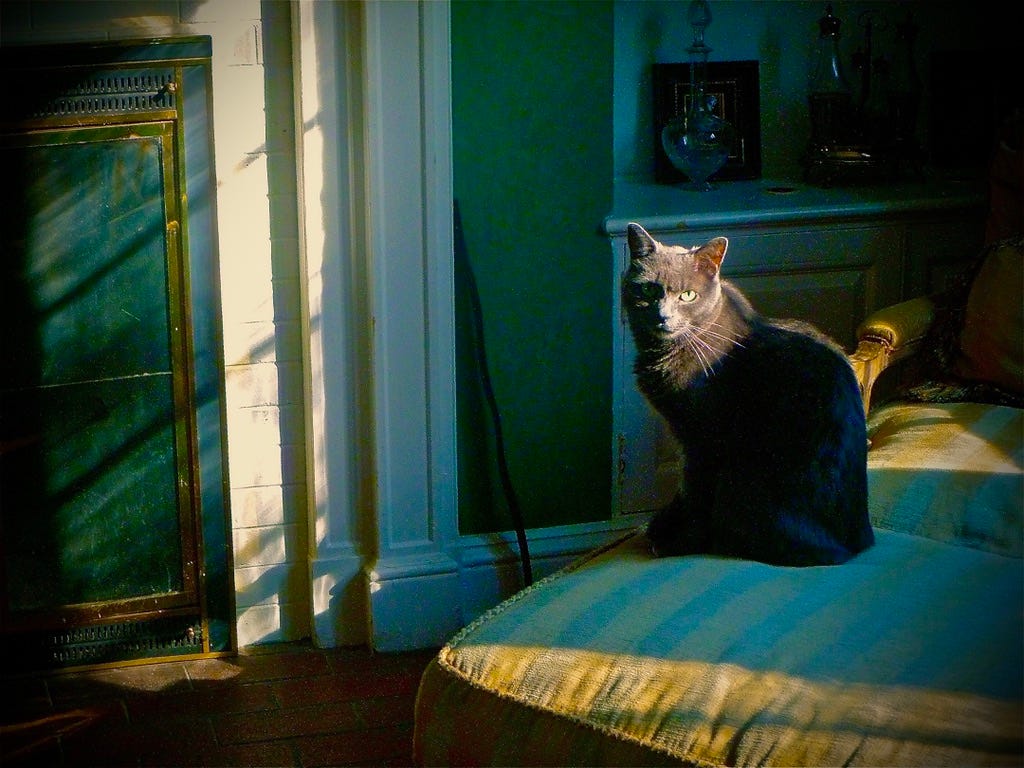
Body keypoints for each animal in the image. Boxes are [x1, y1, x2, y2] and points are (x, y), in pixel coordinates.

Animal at [623, 223, 874, 566]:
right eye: (648, 290)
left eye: (688, 295)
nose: (664, 316)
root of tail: (853, 548)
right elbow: (685, 492)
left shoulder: (704, 441)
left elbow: (695, 494)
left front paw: (679, 542)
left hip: (741, 479)